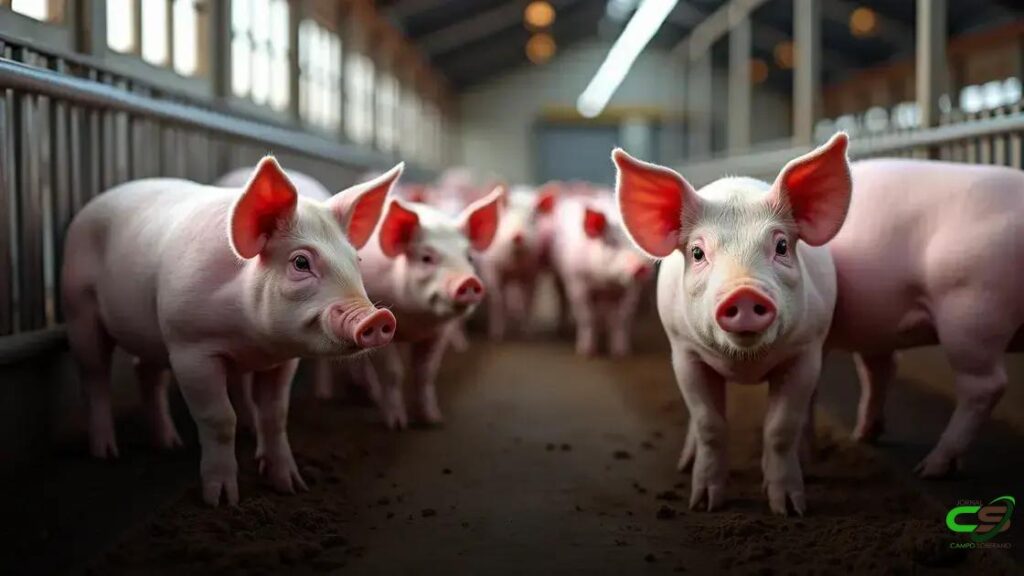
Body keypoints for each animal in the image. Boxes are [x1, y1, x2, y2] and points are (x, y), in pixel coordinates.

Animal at [61, 157, 398, 506]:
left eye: (357, 260)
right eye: (301, 263)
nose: (378, 317)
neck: (252, 339)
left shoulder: (283, 359)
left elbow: (275, 415)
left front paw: (291, 486)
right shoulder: (189, 348)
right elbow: (220, 418)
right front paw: (222, 501)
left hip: (150, 333)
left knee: (145, 371)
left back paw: (169, 443)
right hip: (78, 307)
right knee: (95, 377)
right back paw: (106, 453)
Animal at [356, 190, 502, 428]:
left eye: (469, 257)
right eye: (426, 258)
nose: (469, 281)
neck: (415, 321)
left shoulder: (439, 333)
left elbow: (425, 372)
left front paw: (432, 420)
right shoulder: (377, 326)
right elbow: (393, 372)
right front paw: (396, 425)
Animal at [549, 190, 653, 357]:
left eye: (639, 245)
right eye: (611, 243)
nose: (640, 267)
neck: (606, 282)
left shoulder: (630, 291)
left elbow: (621, 319)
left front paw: (621, 353)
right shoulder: (577, 283)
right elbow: (586, 316)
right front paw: (586, 353)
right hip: (558, 276)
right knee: (562, 300)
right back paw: (561, 329)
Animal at [613, 133, 852, 515]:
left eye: (781, 246)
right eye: (697, 253)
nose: (743, 292)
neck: (744, 364)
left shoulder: (806, 351)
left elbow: (780, 428)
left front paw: (790, 509)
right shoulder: (685, 353)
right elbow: (710, 424)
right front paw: (704, 505)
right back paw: (686, 462)